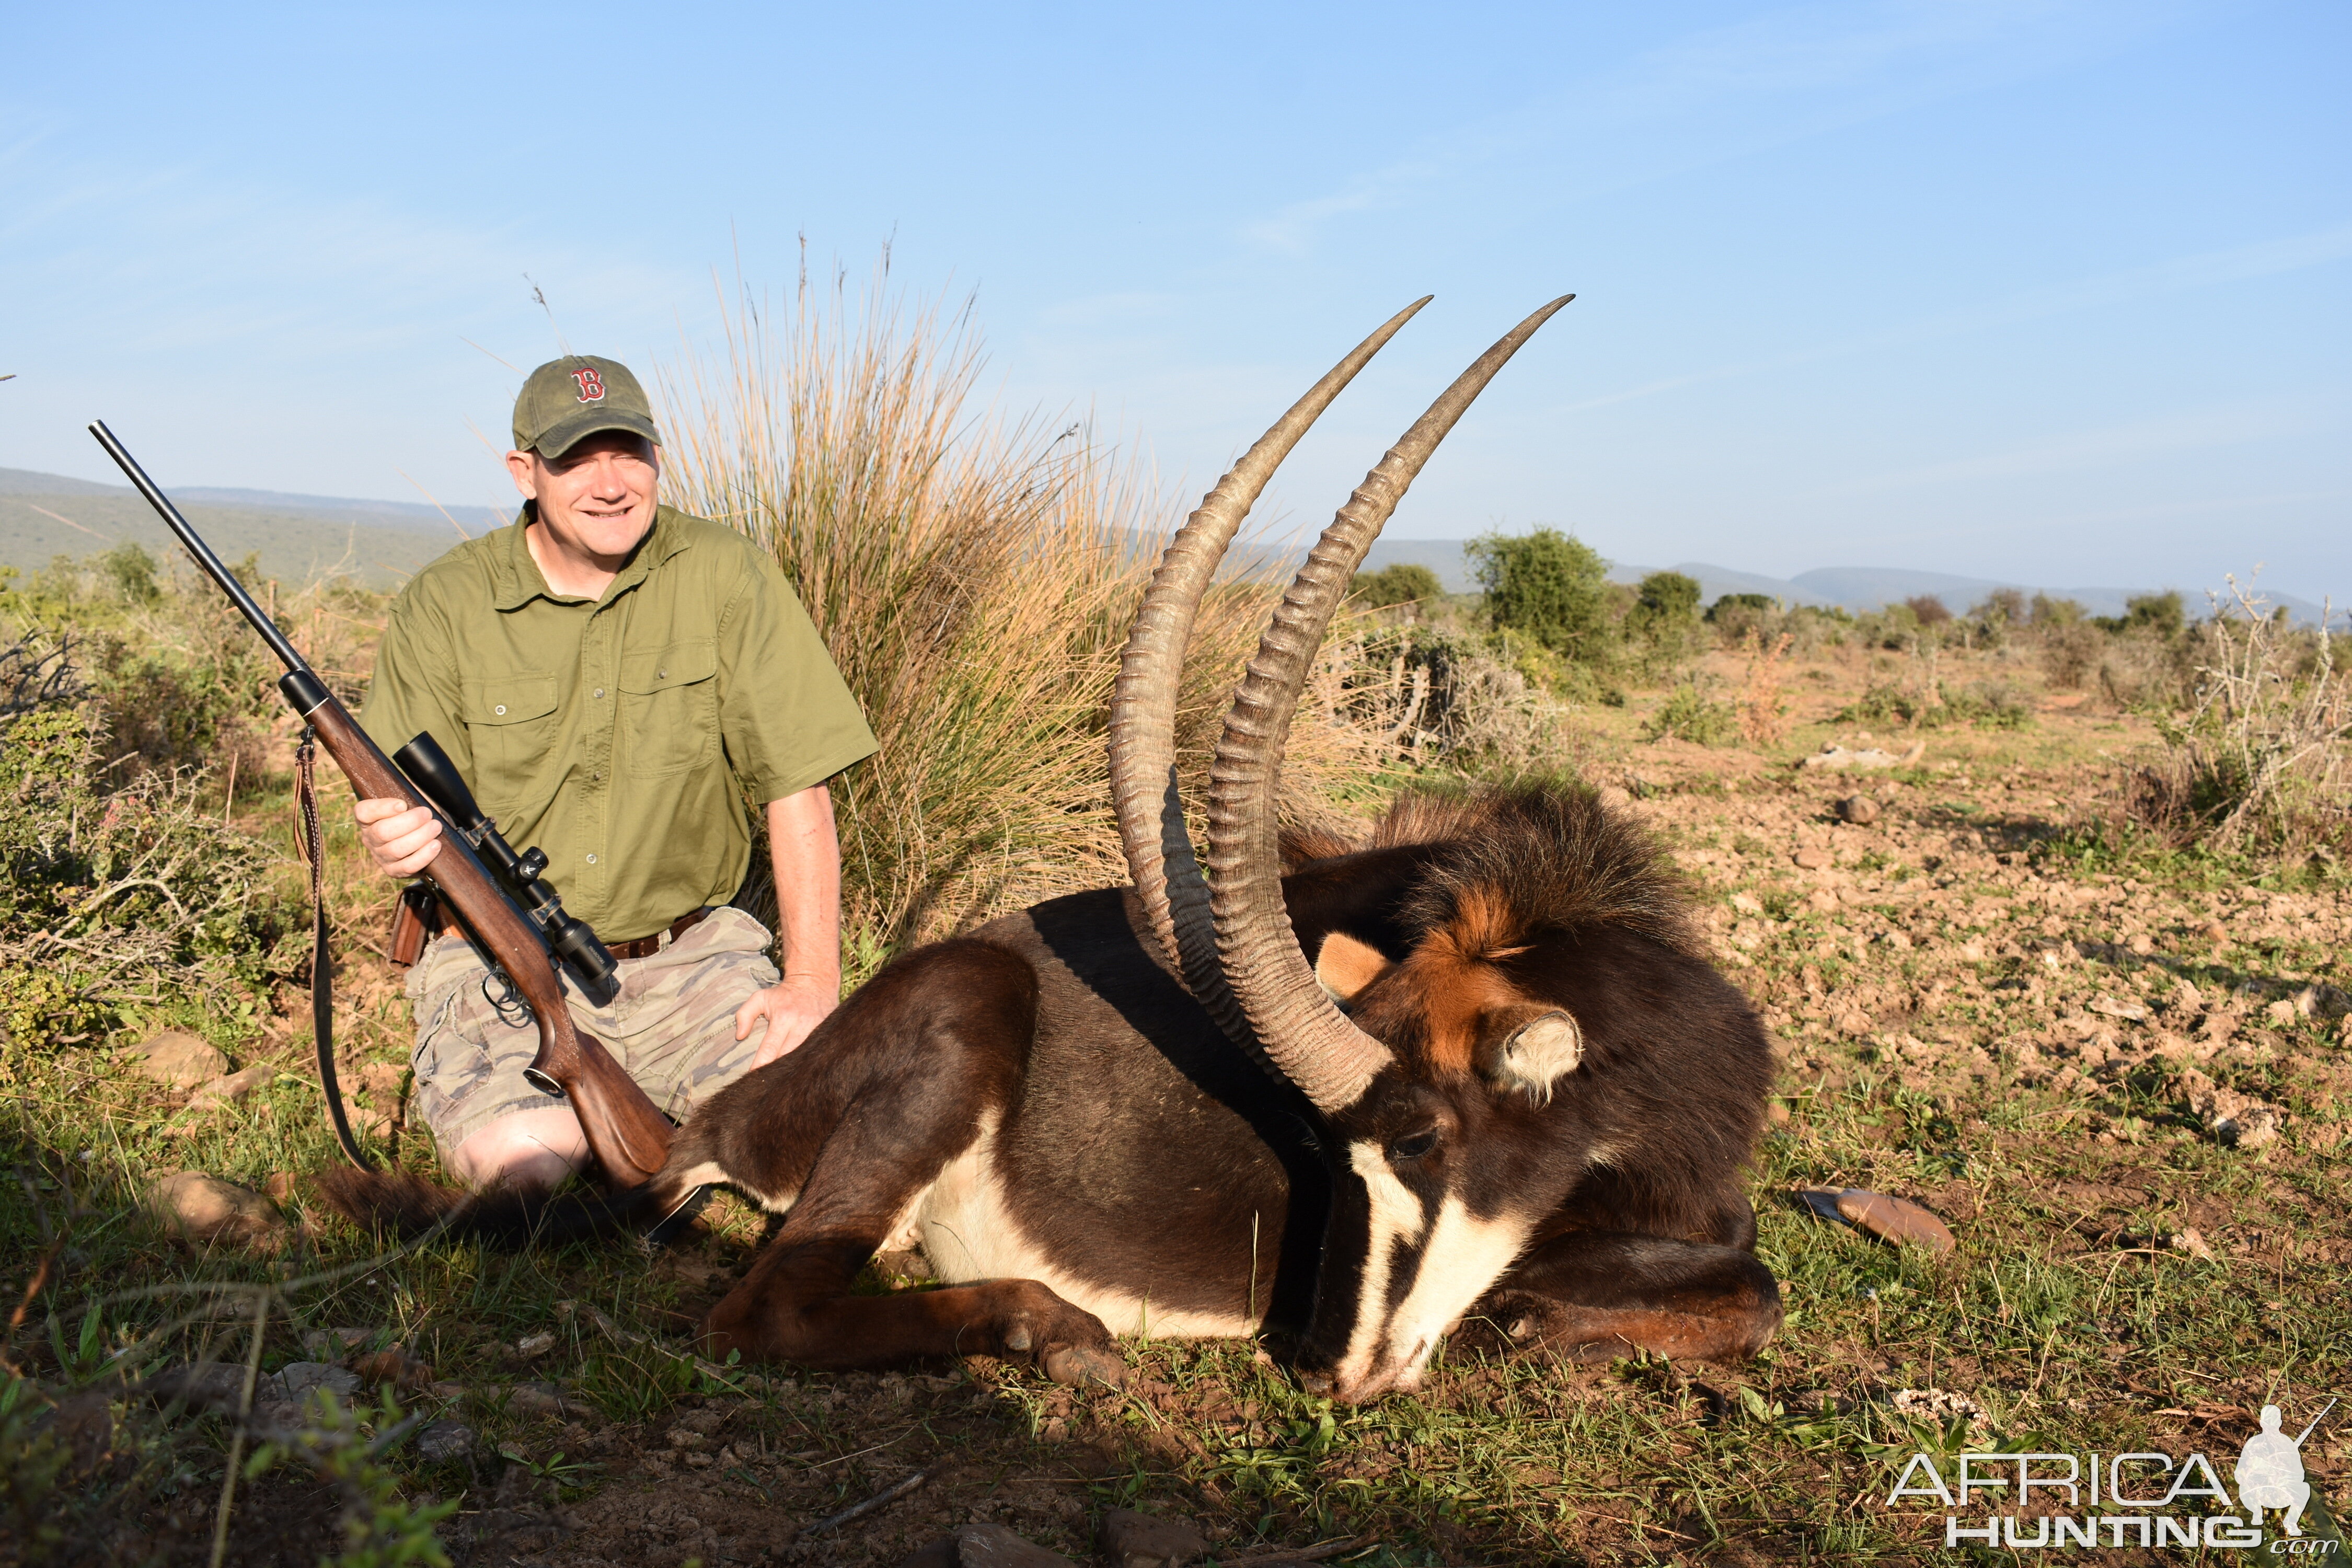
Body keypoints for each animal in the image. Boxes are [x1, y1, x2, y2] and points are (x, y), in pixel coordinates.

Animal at [322, 301, 1769, 1401]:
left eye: (1421, 1137)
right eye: (1351, 1150)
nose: (1331, 1365)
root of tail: (715, 1112)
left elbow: (1740, 1274)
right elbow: (1700, 1287)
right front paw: (1526, 1322)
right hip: (965, 1010)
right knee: (765, 1310)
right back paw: (1044, 1326)